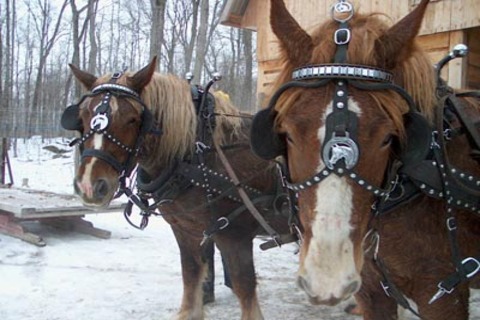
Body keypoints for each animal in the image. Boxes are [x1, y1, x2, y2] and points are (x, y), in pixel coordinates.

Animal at [62, 58, 290, 320]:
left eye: (132, 119)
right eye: (83, 116)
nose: (89, 185)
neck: (201, 152)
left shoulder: (234, 235)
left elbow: (244, 286)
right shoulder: (186, 230)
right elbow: (191, 275)